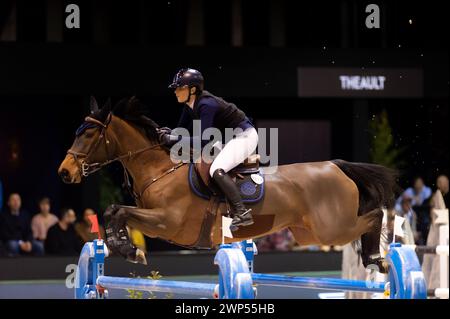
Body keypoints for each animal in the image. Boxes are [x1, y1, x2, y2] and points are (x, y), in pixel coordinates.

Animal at [59, 97, 398, 272]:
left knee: (374, 215)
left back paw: (375, 258)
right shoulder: (156, 224)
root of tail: (336, 166)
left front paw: (128, 249)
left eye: (87, 134)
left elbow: (119, 211)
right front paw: (126, 248)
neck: (161, 169)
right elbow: (114, 211)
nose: (64, 173)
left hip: (333, 227)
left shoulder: (168, 222)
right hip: (310, 232)